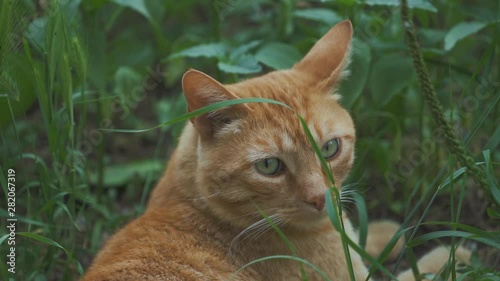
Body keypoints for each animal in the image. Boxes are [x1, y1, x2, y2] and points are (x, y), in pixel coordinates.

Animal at [84, 20, 470, 280]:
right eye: (270, 166)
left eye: (330, 148)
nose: (318, 198)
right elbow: (419, 272)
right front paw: (453, 254)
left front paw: (379, 232)